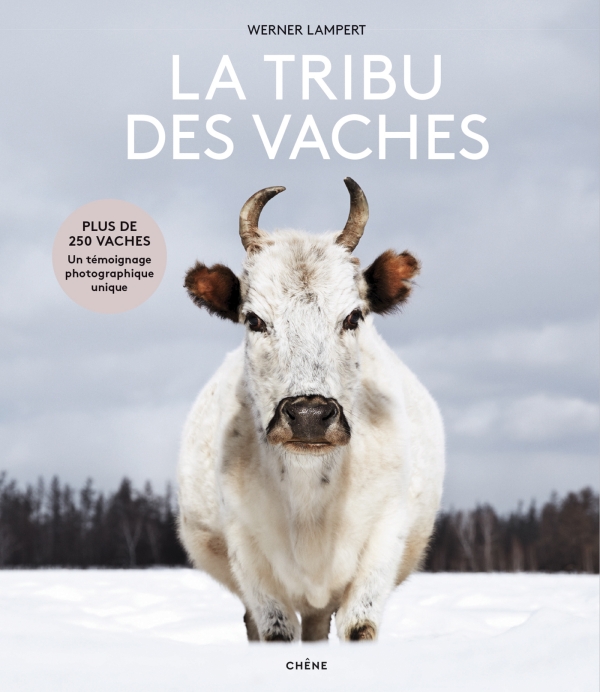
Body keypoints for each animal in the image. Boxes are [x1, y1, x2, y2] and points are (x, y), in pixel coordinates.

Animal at [178, 178, 445, 642]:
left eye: (353, 317)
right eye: (254, 320)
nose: (308, 417)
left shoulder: (382, 540)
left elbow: (359, 628)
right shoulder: (250, 555)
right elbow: (274, 630)